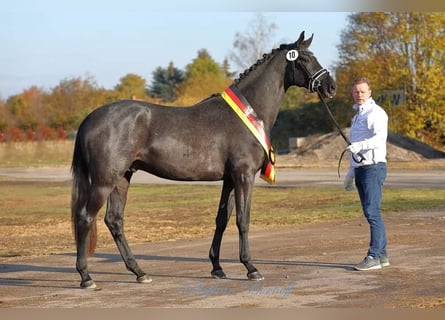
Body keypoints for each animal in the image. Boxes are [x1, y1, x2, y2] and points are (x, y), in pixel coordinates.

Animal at [71, 31, 334, 288]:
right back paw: (86, 277)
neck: (249, 113)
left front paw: (217, 268)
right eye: (304, 59)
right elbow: (243, 220)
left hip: (122, 178)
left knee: (114, 221)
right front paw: (250, 267)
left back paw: (139, 272)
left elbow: (222, 220)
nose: (330, 86)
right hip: (105, 181)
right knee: (85, 218)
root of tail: (90, 118)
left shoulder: (230, 179)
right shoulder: (244, 176)